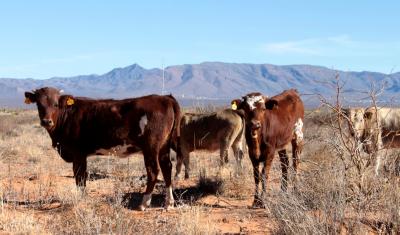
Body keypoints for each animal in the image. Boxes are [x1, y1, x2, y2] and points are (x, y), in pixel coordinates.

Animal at [24, 87, 180, 210]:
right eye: (39, 104)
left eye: (56, 104)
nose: (46, 121)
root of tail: (165, 98)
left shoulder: (78, 153)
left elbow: (80, 177)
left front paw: (81, 198)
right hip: (163, 147)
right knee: (167, 168)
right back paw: (169, 203)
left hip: (150, 147)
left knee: (153, 171)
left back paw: (144, 203)